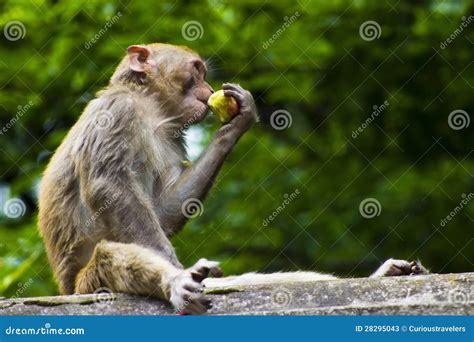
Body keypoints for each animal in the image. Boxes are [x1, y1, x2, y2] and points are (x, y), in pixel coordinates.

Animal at [39, 42, 428, 316]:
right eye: (196, 71)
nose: (207, 87)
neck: (149, 107)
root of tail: (65, 287)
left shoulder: (170, 139)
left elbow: (165, 210)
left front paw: (236, 125)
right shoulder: (116, 112)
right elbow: (109, 187)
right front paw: (174, 267)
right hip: (83, 284)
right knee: (107, 255)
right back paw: (177, 282)